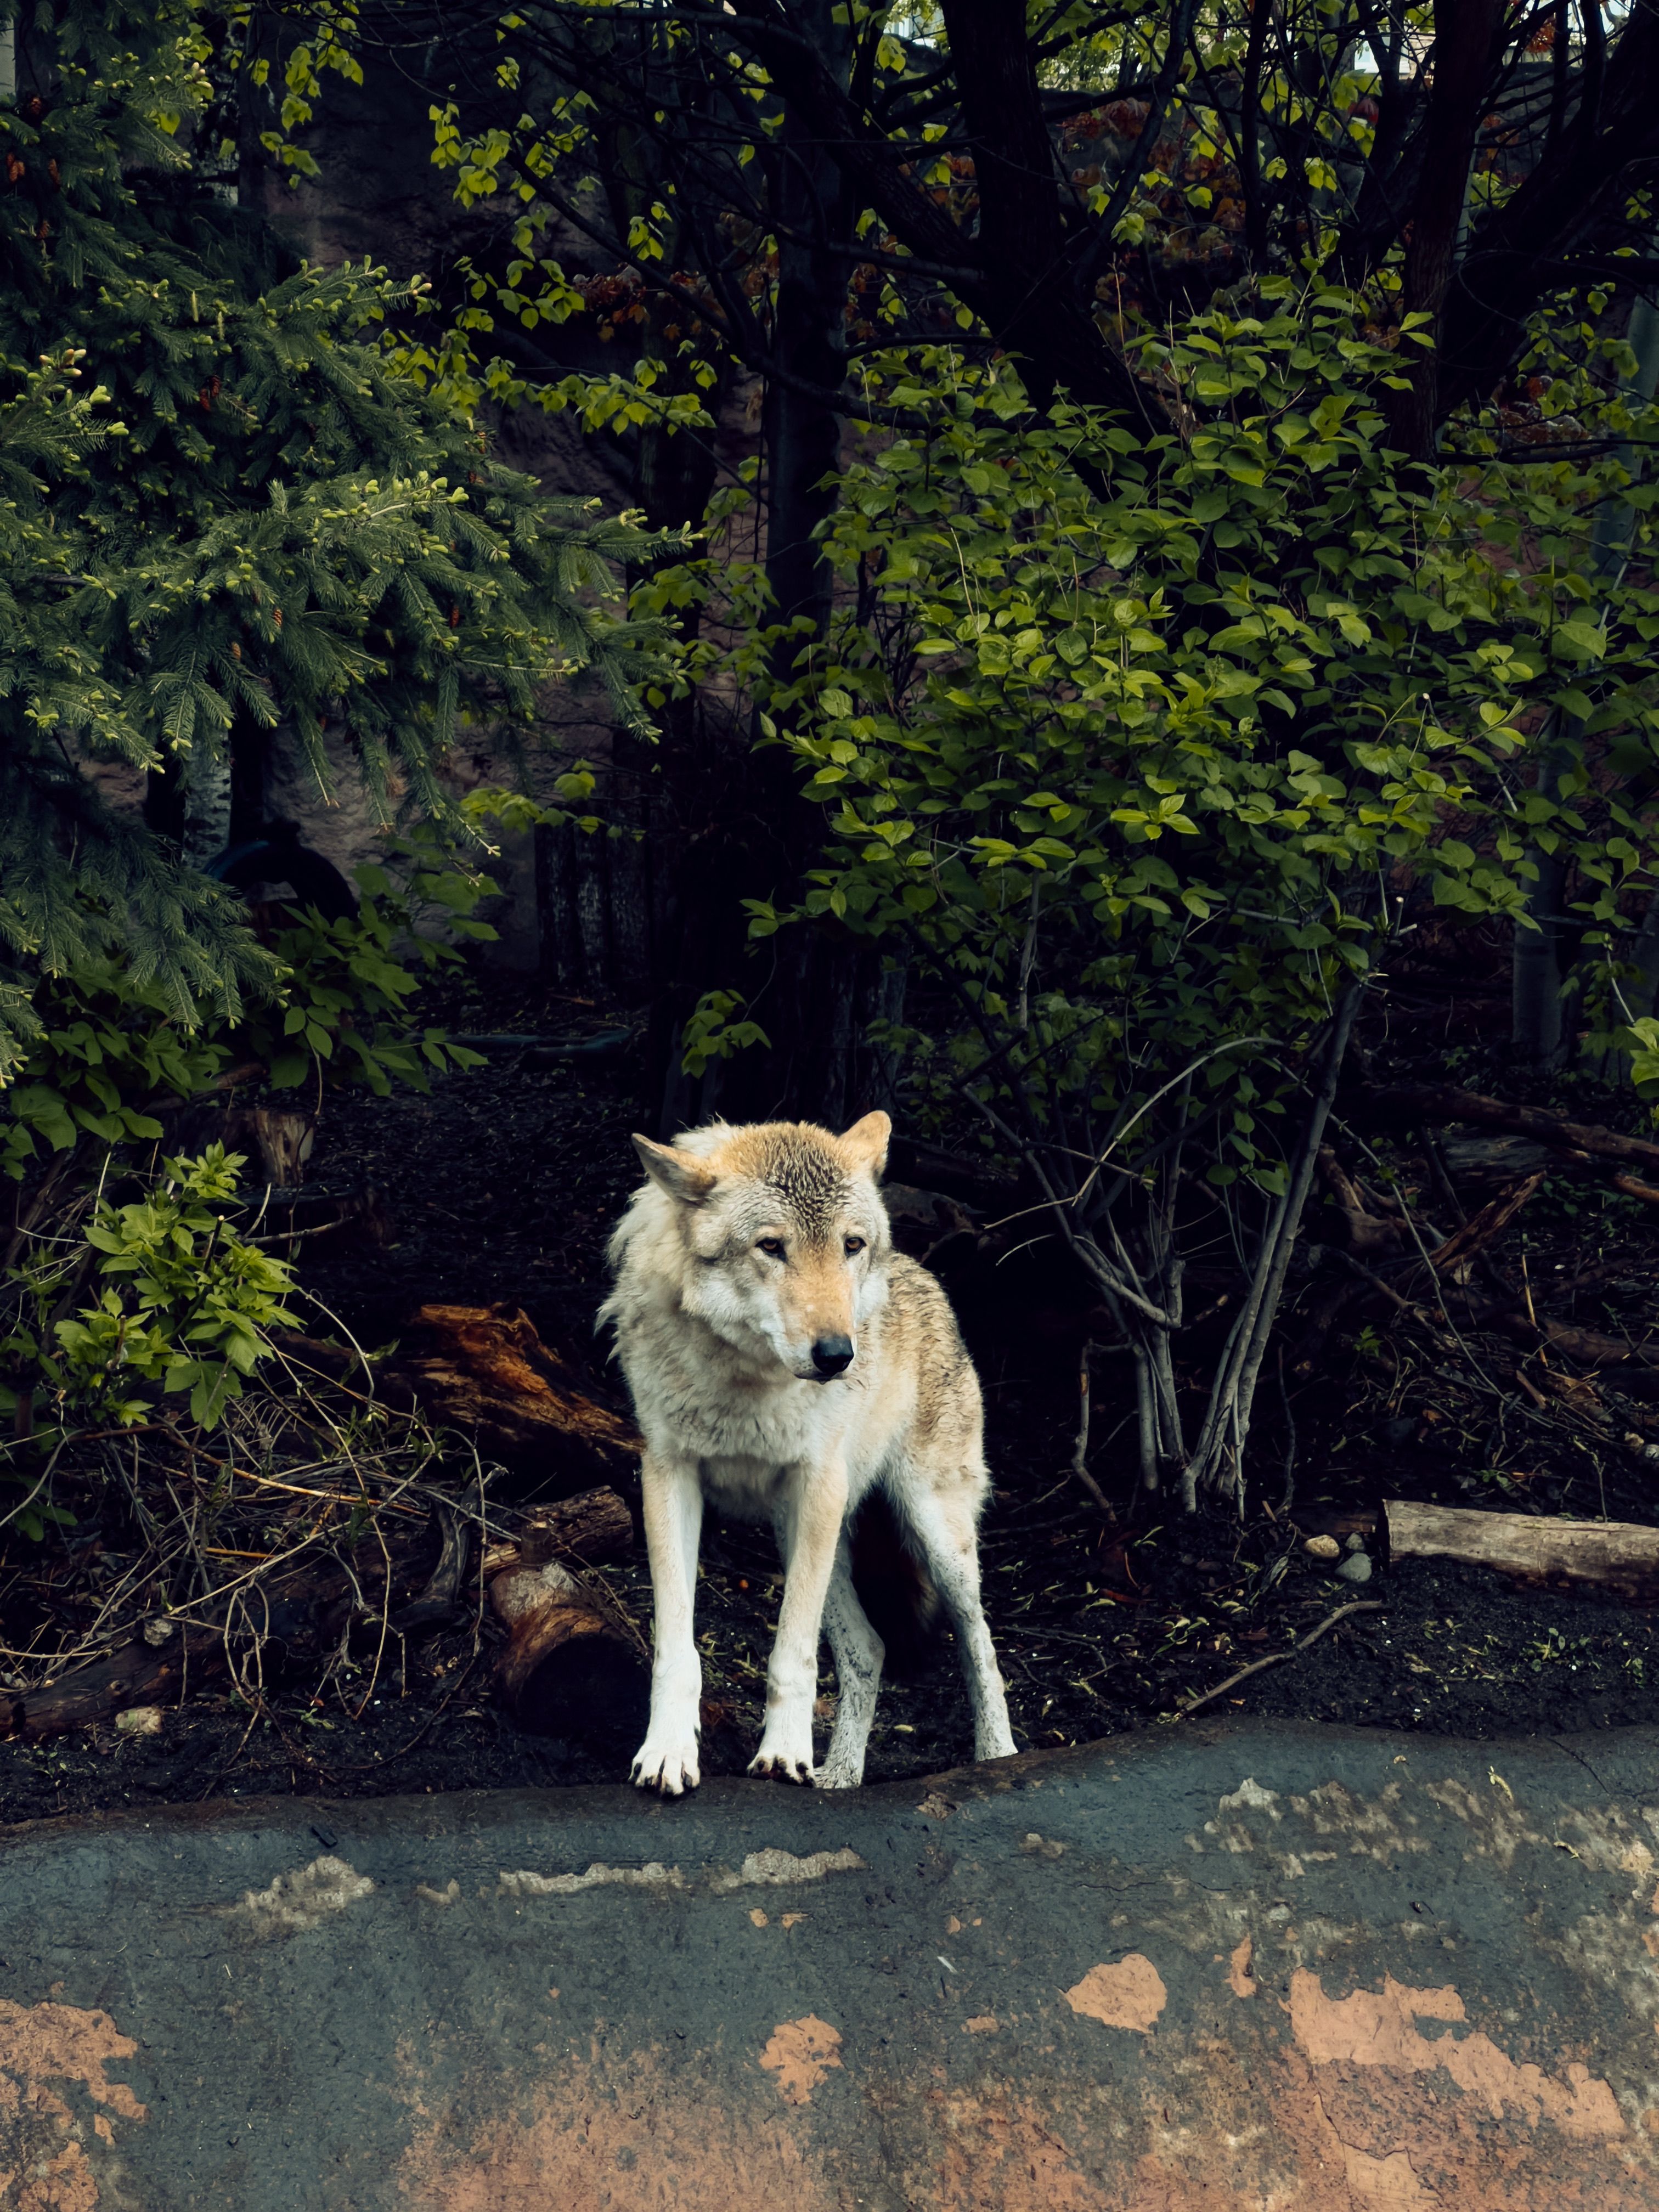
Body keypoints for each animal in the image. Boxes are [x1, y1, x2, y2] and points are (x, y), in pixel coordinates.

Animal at [599, 1110, 1017, 1793]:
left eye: (851, 1245)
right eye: (772, 1246)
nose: (838, 1355)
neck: (744, 1384)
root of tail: (924, 1273)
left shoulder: (819, 1484)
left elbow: (791, 1651)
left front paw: (785, 1755)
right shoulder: (666, 1476)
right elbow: (677, 1648)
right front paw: (667, 1753)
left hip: (931, 1533)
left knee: (980, 1646)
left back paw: (998, 1758)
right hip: (797, 1531)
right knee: (869, 1649)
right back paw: (840, 1778)